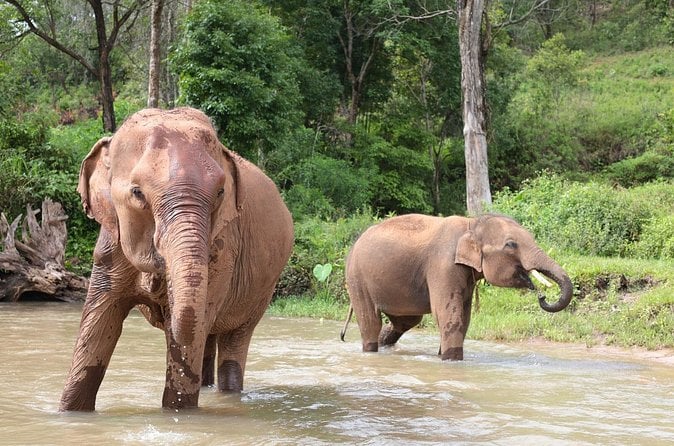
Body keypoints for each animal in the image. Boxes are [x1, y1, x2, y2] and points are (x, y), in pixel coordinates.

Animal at [59, 107, 294, 411]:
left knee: (232, 341)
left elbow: (189, 333)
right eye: (137, 193)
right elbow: (99, 321)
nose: (160, 298)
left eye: (220, 193)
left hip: (262, 290)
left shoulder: (223, 249)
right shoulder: (110, 246)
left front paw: (178, 412)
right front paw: (68, 413)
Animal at [341, 213, 573, 361]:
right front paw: (451, 361)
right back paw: (371, 350)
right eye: (511, 245)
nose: (542, 297)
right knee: (371, 321)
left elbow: (465, 317)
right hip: (357, 278)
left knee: (406, 321)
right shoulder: (443, 265)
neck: (471, 224)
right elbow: (449, 316)